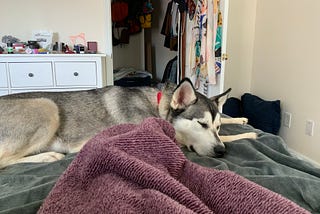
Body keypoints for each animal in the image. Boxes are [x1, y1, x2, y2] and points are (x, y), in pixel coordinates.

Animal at [0, 78, 255, 169]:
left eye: (216, 126)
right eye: (201, 124)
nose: (221, 152)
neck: (158, 106)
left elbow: (228, 125)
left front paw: (239, 119)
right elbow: (230, 137)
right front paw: (249, 135)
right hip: (47, 106)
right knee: (3, 160)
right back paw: (48, 156)